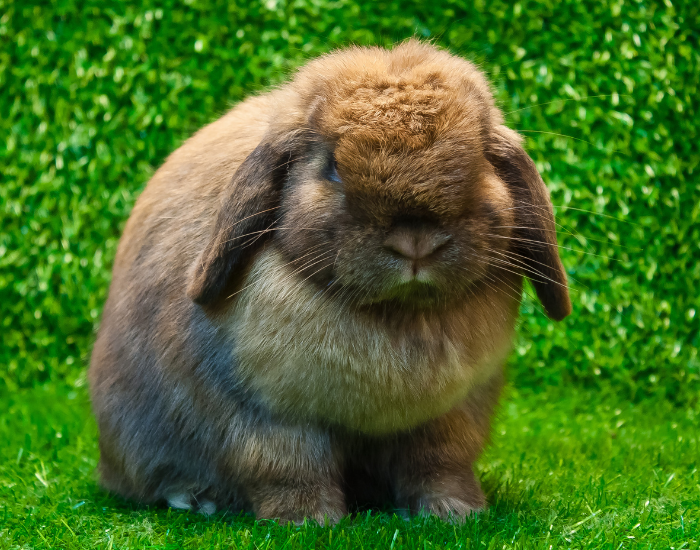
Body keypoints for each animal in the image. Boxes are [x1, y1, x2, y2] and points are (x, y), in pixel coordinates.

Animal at [88, 39, 571, 525]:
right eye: (333, 167)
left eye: (481, 160)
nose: (415, 242)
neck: (397, 314)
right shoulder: (273, 417)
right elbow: (291, 467)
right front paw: (307, 521)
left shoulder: (446, 418)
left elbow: (439, 464)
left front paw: (456, 513)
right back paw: (193, 498)